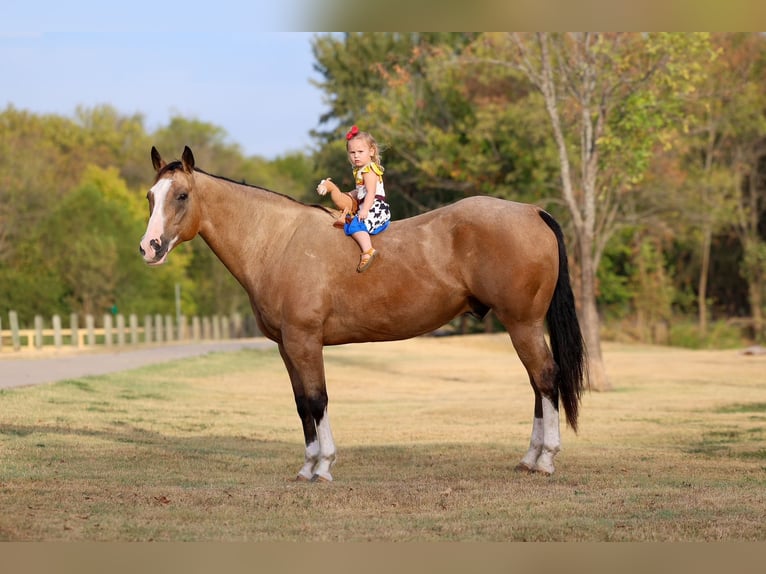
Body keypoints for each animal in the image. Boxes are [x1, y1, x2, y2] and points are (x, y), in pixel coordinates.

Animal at [139, 146, 587, 482]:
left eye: (181, 196)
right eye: (150, 196)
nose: (150, 247)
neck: (278, 242)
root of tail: (533, 211)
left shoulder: (305, 341)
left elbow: (318, 400)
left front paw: (323, 467)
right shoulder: (287, 347)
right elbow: (301, 404)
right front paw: (307, 466)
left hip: (522, 324)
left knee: (546, 379)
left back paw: (545, 460)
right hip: (523, 327)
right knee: (537, 384)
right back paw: (528, 459)